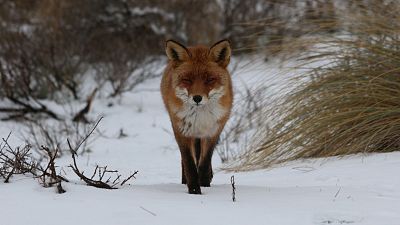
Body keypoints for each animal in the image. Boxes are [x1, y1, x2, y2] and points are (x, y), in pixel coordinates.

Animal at [160, 39, 233, 194]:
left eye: (210, 79)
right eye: (187, 79)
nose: (197, 98)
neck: (200, 117)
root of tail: (196, 46)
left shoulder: (214, 131)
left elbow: (205, 162)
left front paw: (204, 184)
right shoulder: (181, 130)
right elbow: (189, 163)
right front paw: (194, 190)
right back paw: (184, 181)